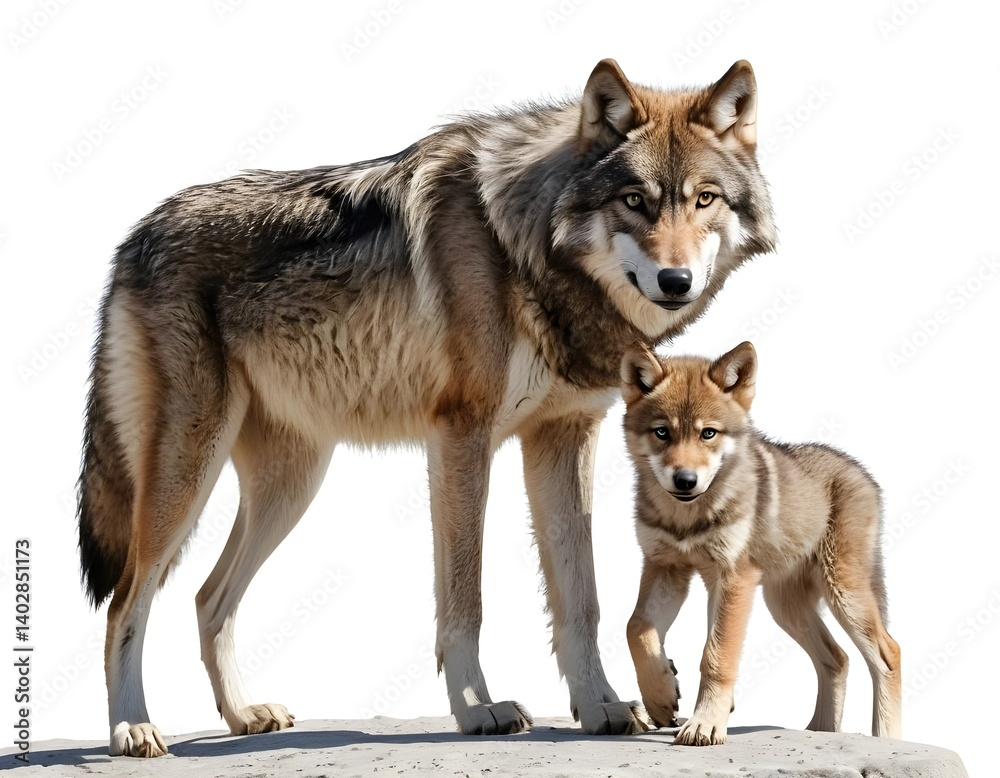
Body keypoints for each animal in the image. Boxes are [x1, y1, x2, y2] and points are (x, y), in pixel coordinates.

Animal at [77, 58, 776, 757]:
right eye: (635, 200)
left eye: (704, 199)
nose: (676, 281)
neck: (526, 250)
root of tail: (134, 237)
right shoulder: (461, 436)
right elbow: (465, 597)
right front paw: (478, 709)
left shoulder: (564, 434)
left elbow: (583, 598)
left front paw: (605, 704)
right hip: (189, 474)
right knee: (124, 603)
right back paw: (132, 727)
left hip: (290, 488)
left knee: (205, 598)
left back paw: (243, 717)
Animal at [620, 342, 902, 746]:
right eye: (662, 432)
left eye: (708, 434)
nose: (685, 480)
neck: (686, 518)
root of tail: (862, 471)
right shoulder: (667, 569)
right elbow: (637, 629)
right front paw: (660, 698)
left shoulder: (733, 579)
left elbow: (716, 656)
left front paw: (705, 724)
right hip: (783, 606)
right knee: (837, 659)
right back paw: (819, 732)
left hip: (844, 596)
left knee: (888, 653)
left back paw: (887, 739)